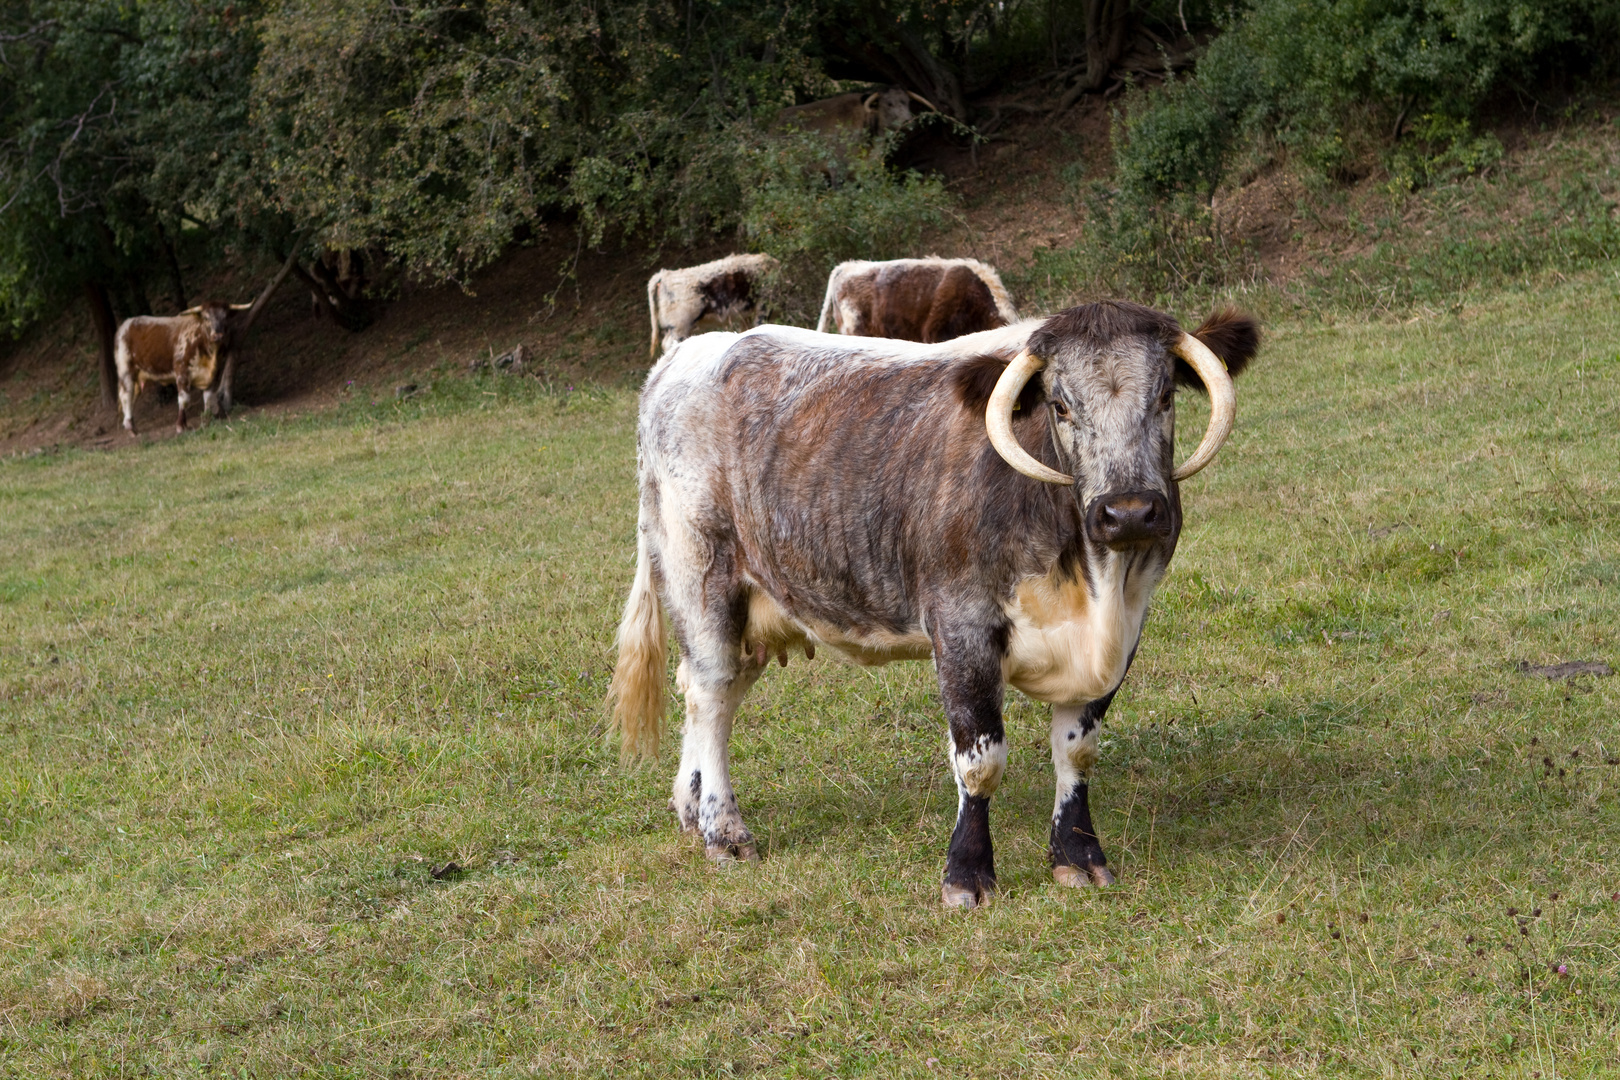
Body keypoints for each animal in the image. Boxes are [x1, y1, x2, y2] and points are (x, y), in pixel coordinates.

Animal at [114, 299, 246, 433]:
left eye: (225, 317)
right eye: (206, 318)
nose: (218, 335)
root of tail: (126, 323)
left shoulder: (213, 375)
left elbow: (208, 398)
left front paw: (207, 420)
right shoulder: (181, 371)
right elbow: (184, 399)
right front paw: (181, 426)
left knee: (132, 395)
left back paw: (130, 424)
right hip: (125, 370)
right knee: (126, 395)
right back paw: (130, 427)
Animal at [612, 299, 1257, 906]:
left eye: (1166, 397)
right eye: (1060, 406)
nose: (1128, 513)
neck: (1093, 580)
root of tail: (682, 358)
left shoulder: (1124, 631)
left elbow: (1077, 753)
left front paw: (1078, 857)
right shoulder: (961, 626)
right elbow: (981, 760)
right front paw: (967, 875)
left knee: (710, 692)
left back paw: (691, 808)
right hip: (702, 579)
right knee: (711, 694)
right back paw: (724, 832)